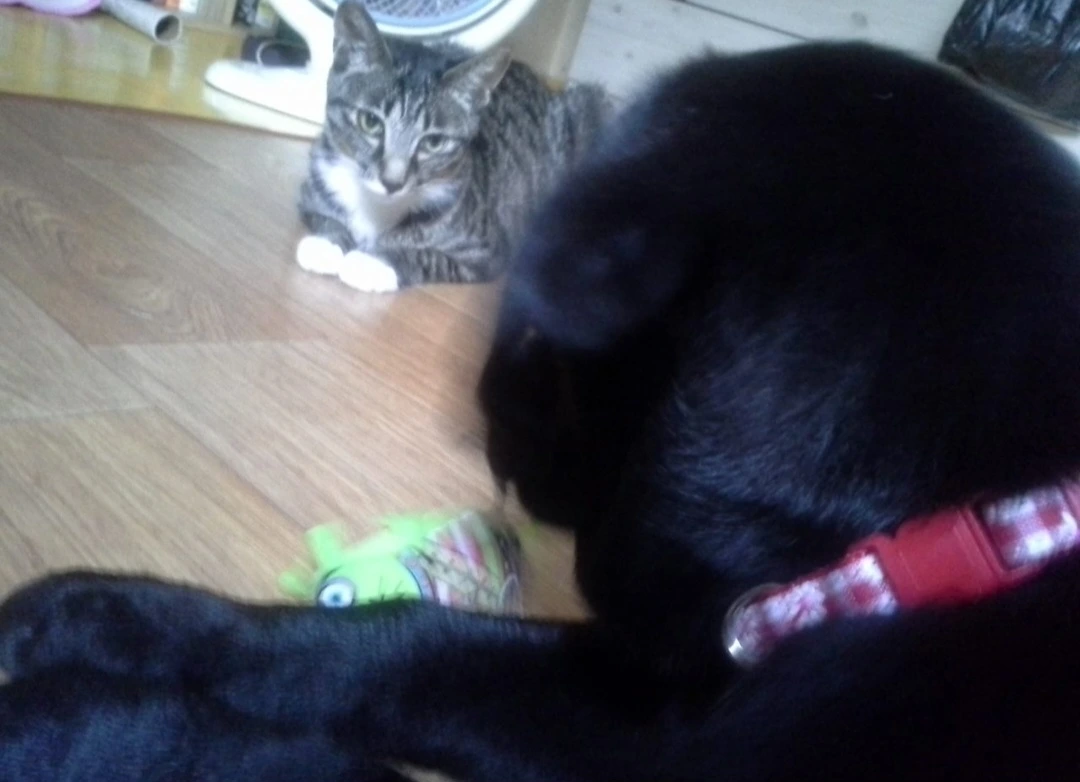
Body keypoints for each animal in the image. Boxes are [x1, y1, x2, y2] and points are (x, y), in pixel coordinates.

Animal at [3, 43, 1080, 781]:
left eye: (528, 349)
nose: (491, 433)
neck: (986, 509)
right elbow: (401, 648)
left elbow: (365, 671)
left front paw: (81, 679)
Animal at [295, 0, 610, 292]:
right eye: (370, 122)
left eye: (433, 142)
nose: (392, 182)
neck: (378, 206)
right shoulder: (312, 191)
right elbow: (325, 218)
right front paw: (327, 244)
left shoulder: (485, 254)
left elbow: (427, 255)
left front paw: (374, 262)